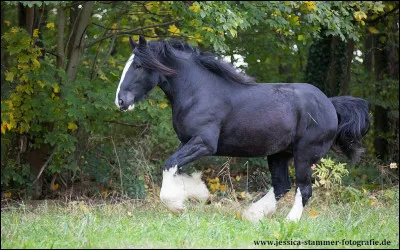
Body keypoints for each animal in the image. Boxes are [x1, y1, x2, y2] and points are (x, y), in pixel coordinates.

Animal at [115, 36, 368, 222]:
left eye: (138, 65)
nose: (120, 101)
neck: (198, 91)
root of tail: (330, 104)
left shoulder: (204, 143)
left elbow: (169, 165)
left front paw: (177, 206)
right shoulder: (187, 142)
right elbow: (176, 167)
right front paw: (200, 194)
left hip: (304, 155)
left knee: (303, 190)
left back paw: (289, 222)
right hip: (279, 154)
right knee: (281, 186)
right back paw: (252, 215)